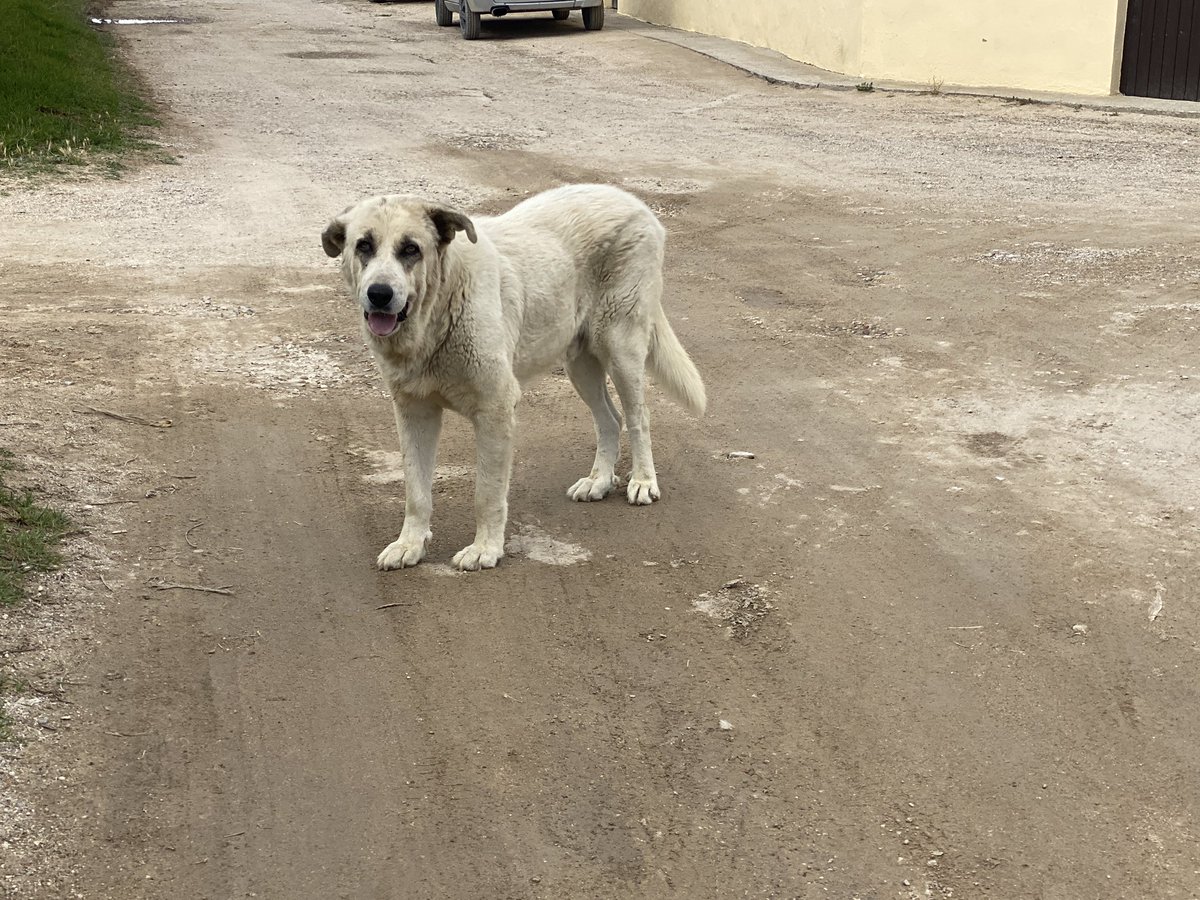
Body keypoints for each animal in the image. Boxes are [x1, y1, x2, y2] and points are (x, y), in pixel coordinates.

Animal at [324, 184, 705, 571]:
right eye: (364, 246)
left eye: (410, 249)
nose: (379, 294)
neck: (438, 309)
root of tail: (630, 199)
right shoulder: (414, 412)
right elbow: (416, 492)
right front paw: (409, 545)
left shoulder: (495, 409)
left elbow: (487, 493)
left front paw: (485, 549)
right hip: (579, 362)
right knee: (610, 418)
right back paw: (598, 481)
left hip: (620, 345)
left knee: (639, 416)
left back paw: (642, 480)